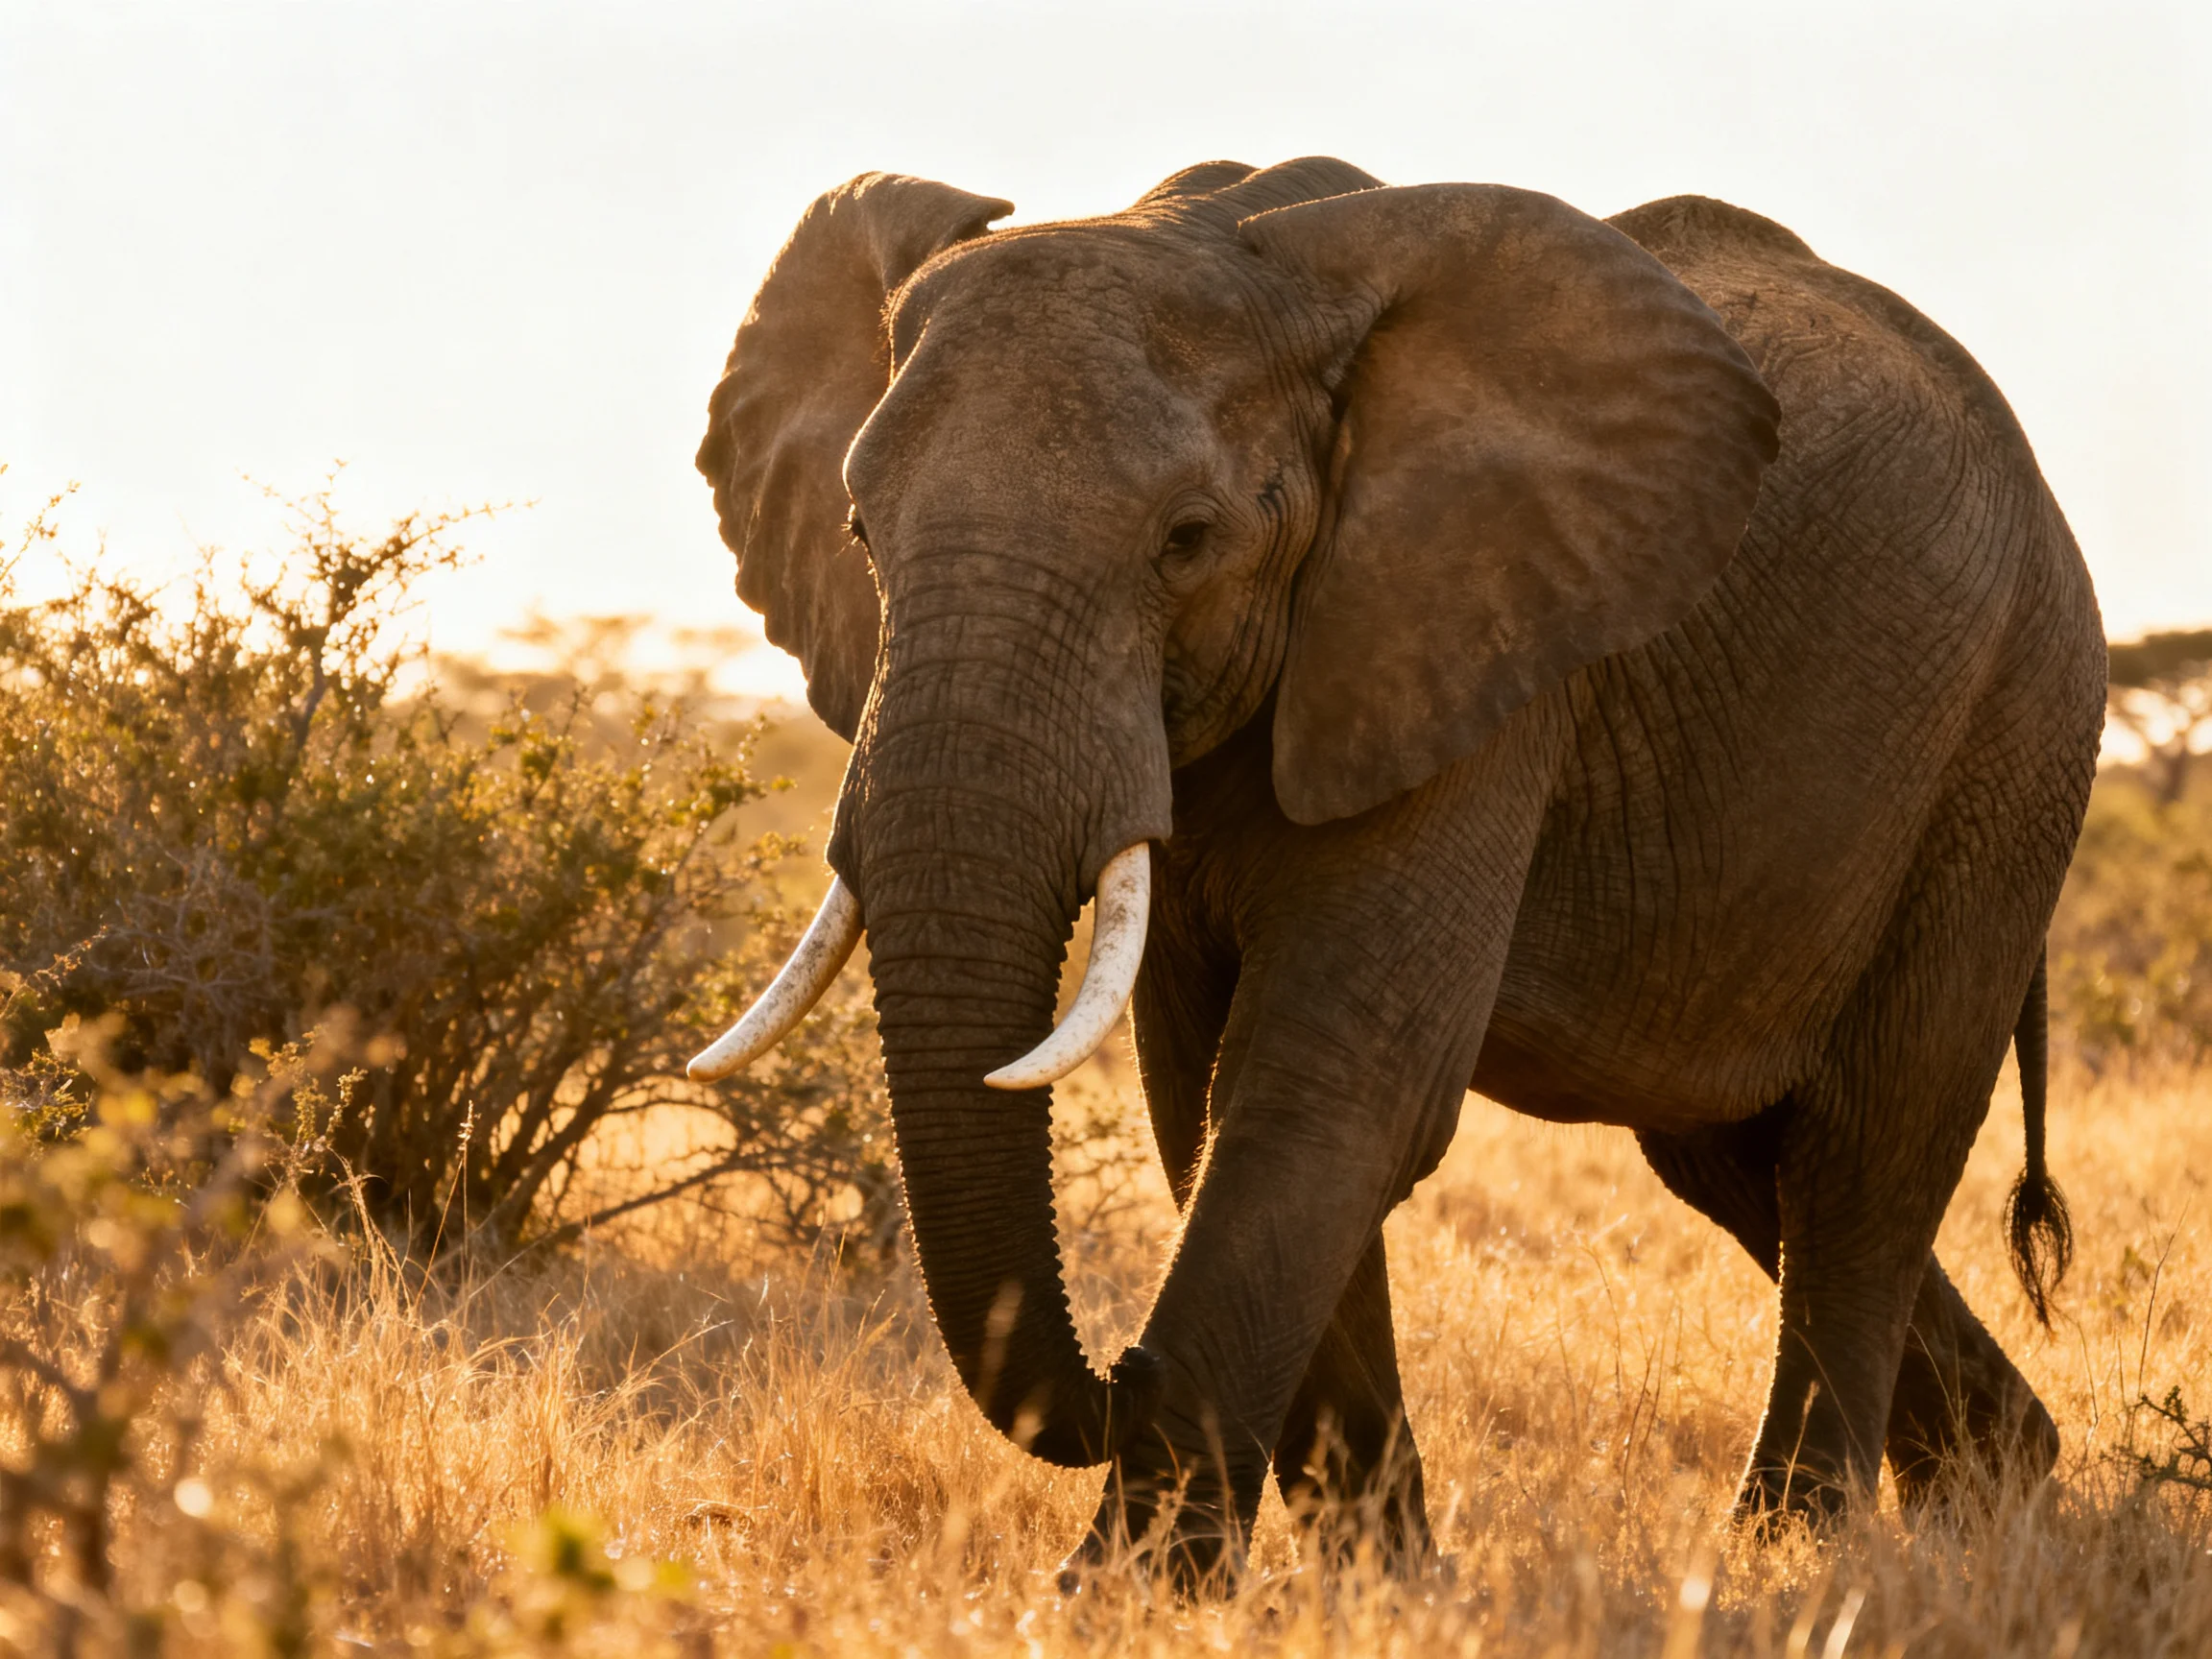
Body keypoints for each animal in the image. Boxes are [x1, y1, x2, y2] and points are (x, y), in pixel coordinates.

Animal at [687, 157, 2104, 1582]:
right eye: (861, 533)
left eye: (1186, 539)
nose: (1118, 1373)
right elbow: (1200, 1095)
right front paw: (1385, 1582)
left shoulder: (1477, 652)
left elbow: (1334, 1083)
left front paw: (1119, 1595)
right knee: (1734, 1157)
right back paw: (2005, 1489)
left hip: (2013, 733)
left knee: (1865, 1151)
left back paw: (1796, 1553)